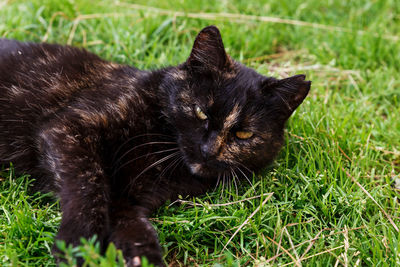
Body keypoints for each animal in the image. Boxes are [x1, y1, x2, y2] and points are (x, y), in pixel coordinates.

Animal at [0, 25, 310, 267]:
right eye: (200, 112)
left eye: (244, 134)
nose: (209, 150)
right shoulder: (68, 127)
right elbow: (89, 182)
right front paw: (78, 241)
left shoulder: (129, 200)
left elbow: (133, 227)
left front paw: (142, 256)